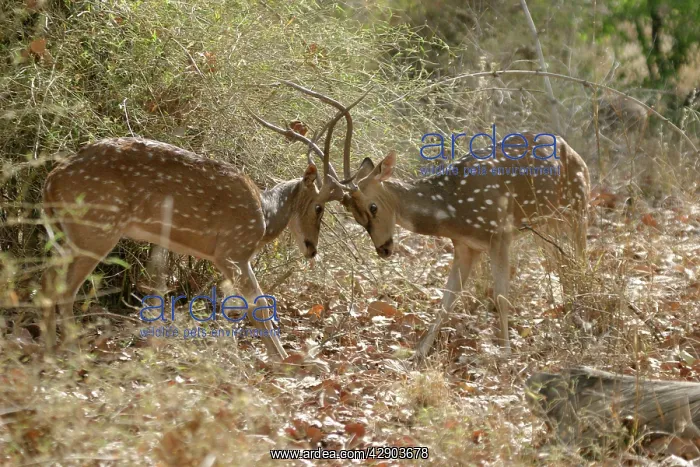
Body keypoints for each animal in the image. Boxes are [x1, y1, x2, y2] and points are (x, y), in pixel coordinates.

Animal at [41, 81, 365, 360]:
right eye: (319, 207)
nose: (312, 248)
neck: (264, 217)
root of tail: (50, 181)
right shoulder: (231, 250)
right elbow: (257, 304)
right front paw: (284, 360)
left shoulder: (231, 256)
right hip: (96, 229)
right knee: (63, 288)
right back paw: (70, 352)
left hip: (69, 234)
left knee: (48, 281)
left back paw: (48, 349)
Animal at [337, 131, 591, 357]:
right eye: (355, 217)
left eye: (373, 207)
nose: (384, 249)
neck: (451, 210)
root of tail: (572, 150)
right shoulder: (464, 246)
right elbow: (446, 301)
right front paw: (419, 353)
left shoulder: (500, 233)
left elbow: (500, 297)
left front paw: (506, 353)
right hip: (546, 224)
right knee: (562, 264)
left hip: (578, 207)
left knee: (580, 257)